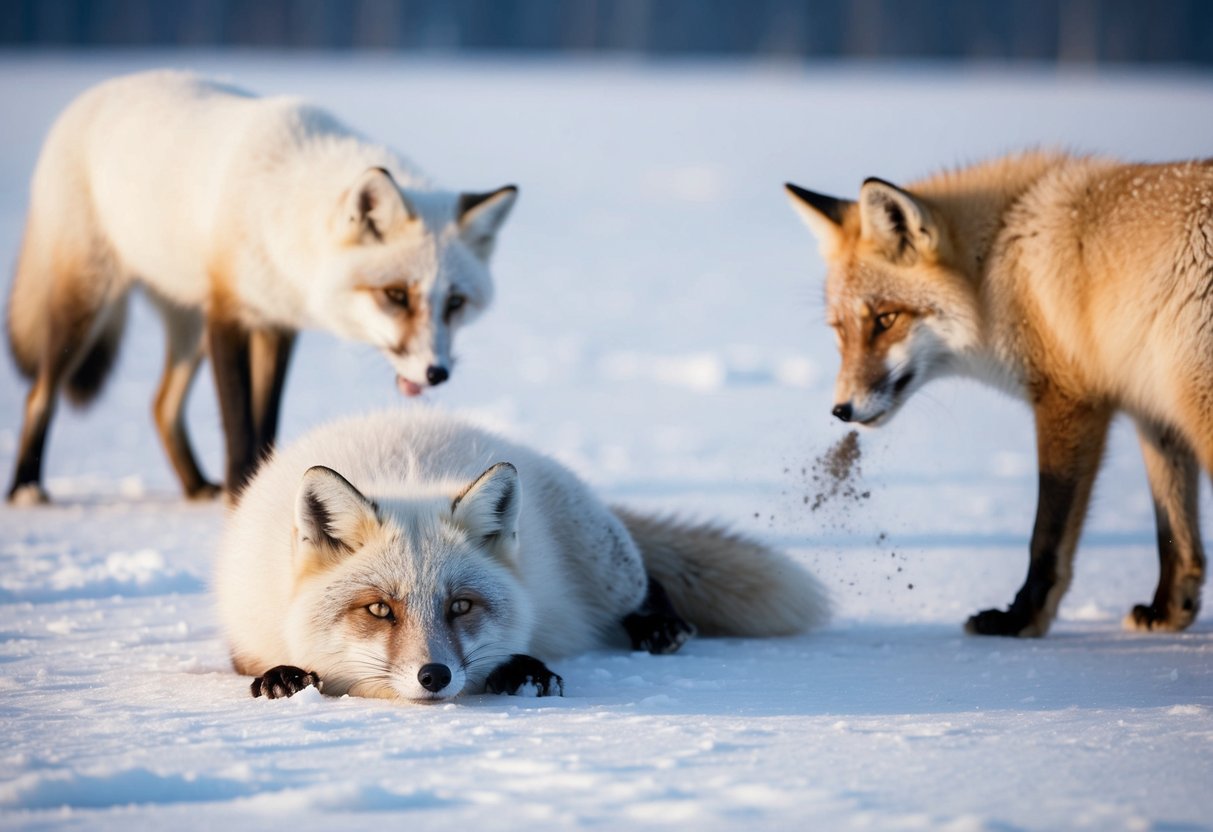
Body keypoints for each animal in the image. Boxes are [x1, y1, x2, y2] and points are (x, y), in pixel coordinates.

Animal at [6, 70, 517, 505]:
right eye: (395, 295)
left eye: (455, 302)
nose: (436, 373)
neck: (278, 211)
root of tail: (93, 94)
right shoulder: (227, 314)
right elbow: (239, 425)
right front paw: (240, 495)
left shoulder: (275, 324)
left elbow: (265, 420)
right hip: (88, 303)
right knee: (39, 396)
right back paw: (25, 487)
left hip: (187, 325)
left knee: (161, 406)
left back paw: (195, 486)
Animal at [213, 408, 828, 701]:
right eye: (380, 610)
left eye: (461, 606)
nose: (434, 676)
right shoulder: (246, 627)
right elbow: (255, 662)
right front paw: (284, 676)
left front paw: (523, 671)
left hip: (605, 564)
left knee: (648, 583)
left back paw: (661, 628)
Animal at [785, 150, 1213, 638]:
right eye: (840, 330)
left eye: (886, 319)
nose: (841, 409)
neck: (996, 261)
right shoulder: (1152, 409)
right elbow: (1174, 531)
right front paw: (1170, 611)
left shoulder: (1069, 400)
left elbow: (1046, 535)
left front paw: (1019, 619)